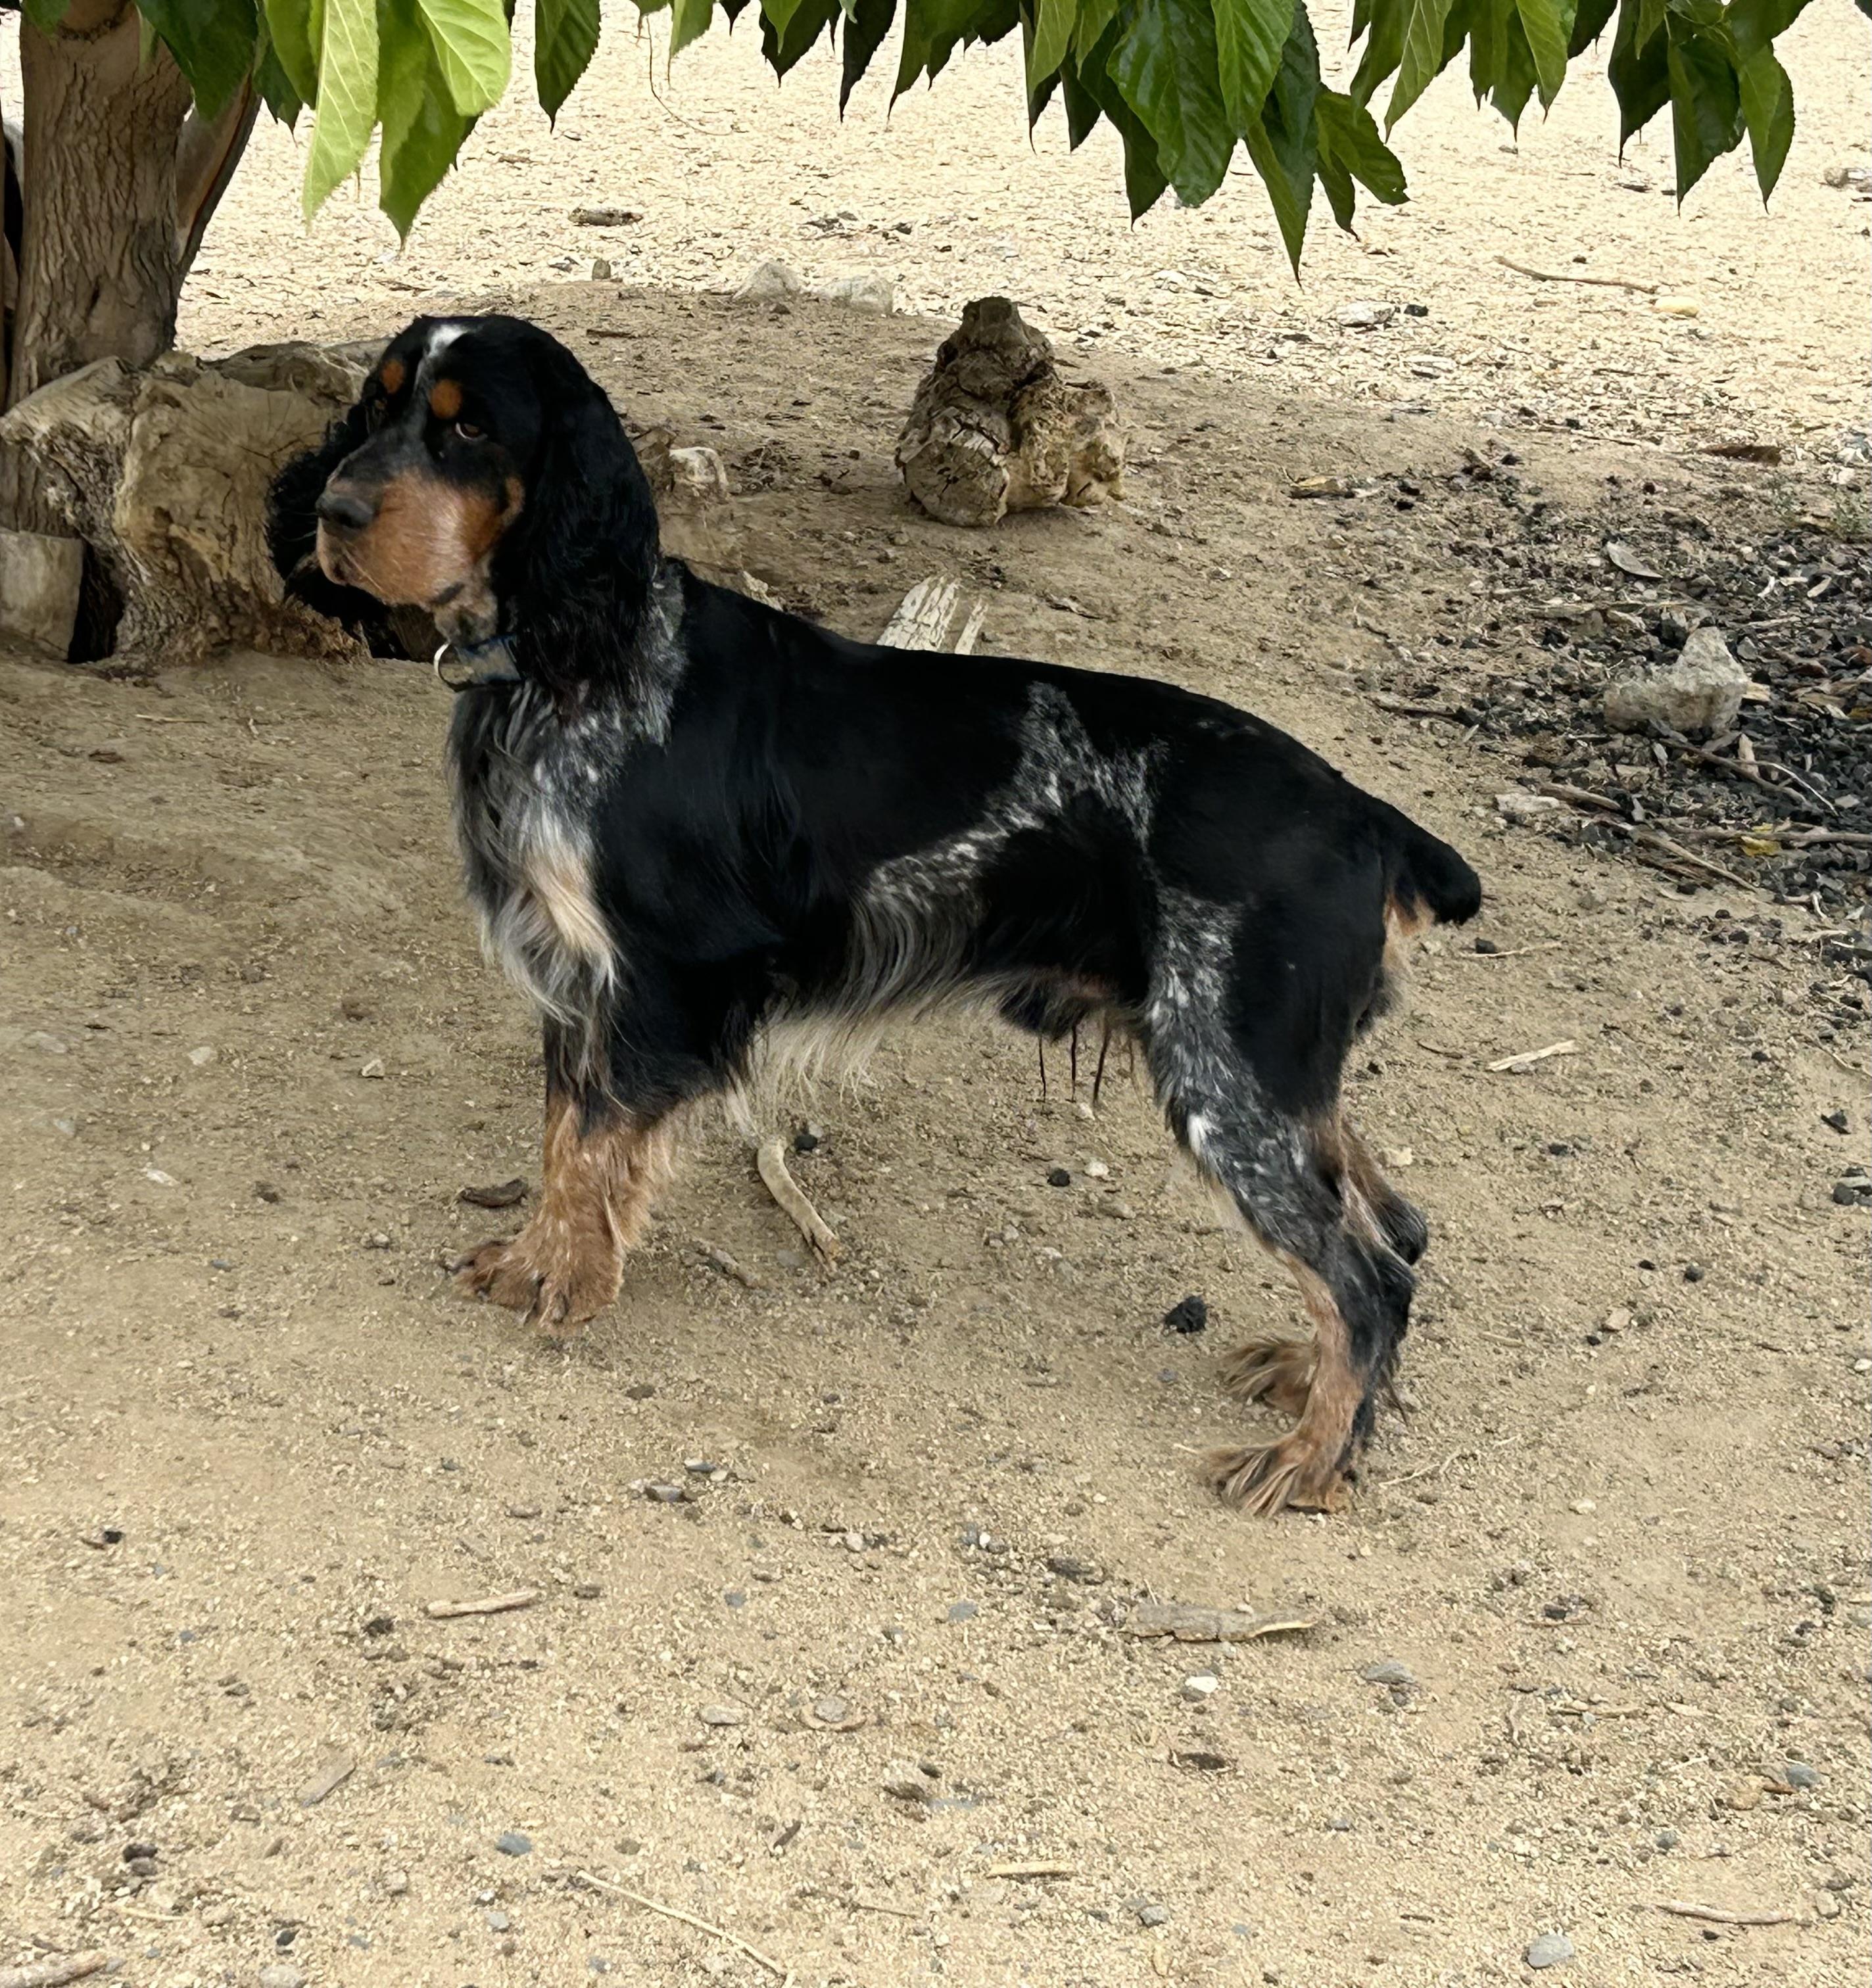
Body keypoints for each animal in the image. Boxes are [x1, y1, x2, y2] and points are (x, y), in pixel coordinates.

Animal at [269, 313, 1481, 1515]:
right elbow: (566, 1137)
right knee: (1396, 1226)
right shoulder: (580, 981)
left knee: (1366, 1275)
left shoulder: (663, 980)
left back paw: (1309, 1460)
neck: (574, 660)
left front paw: (559, 1278)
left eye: (470, 427)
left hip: (1227, 1078)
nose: (332, 512)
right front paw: (533, 1257)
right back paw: (1308, 1385)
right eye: (375, 408)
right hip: (1264, 1073)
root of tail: (1369, 821)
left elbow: (597, 1143)